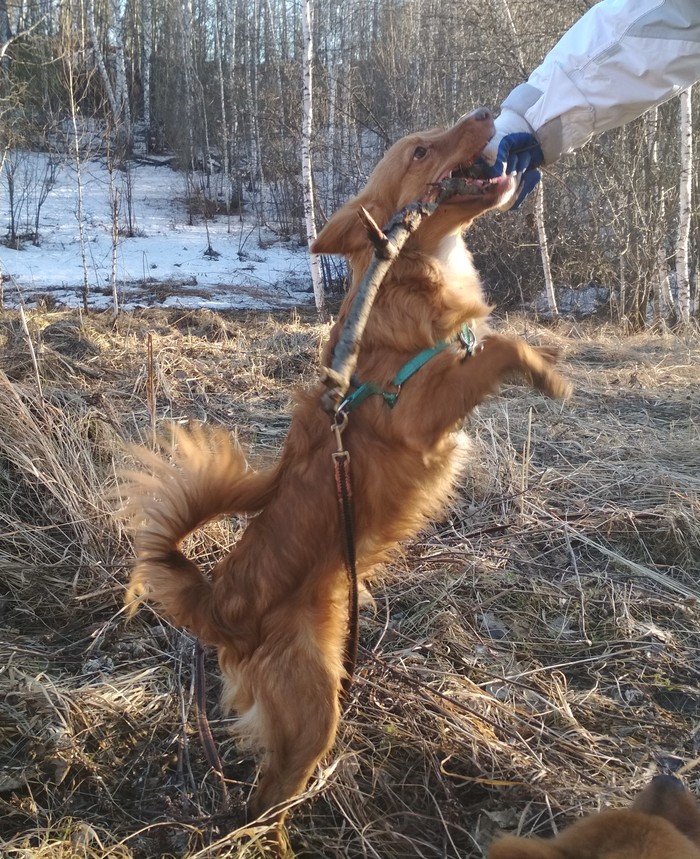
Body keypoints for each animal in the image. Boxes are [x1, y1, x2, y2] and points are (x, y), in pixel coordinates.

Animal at [123, 107, 570, 829]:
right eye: (421, 152)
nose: (486, 113)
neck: (406, 277)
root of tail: (219, 604)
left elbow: (498, 340)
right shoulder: (416, 412)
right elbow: (499, 344)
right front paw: (545, 373)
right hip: (313, 705)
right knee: (270, 788)